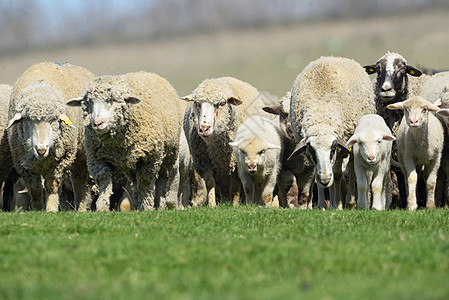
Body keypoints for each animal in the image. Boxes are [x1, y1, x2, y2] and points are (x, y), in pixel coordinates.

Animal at [6, 61, 93, 211]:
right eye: (28, 119)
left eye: (54, 119)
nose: (41, 149)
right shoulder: (25, 166)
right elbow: (35, 190)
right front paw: (38, 210)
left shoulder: (58, 163)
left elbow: (52, 187)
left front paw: (51, 210)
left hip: (82, 151)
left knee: (79, 180)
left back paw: (81, 208)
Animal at [66, 71, 180, 211]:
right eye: (88, 102)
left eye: (114, 100)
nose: (97, 123)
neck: (117, 145)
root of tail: (148, 72)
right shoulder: (98, 159)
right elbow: (104, 184)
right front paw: (102, 208)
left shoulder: (149, 159)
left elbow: (145, 184)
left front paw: (147, 207)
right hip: (132, 164)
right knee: (135, 183)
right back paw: (138, 203)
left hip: (169, 156)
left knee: (162, 181)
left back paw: (159, 204)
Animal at [181, 76, 276, 206]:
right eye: (196, 103)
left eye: (221, 103)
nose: (204, 128)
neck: (217, 148)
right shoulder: (204, 162)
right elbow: (210, 183)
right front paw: (212, 205)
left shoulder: (236, 164)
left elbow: (235, 189)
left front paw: (235, 205)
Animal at [288, 57, 374, 210]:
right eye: (311, 149)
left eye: (333, 148)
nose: (325, 179)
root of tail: (335, 57)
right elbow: (317, 175)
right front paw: (322, 204)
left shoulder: (340, 150)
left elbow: (338, 174)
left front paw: (338, 204)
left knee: (351, 169)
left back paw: (350, 201)